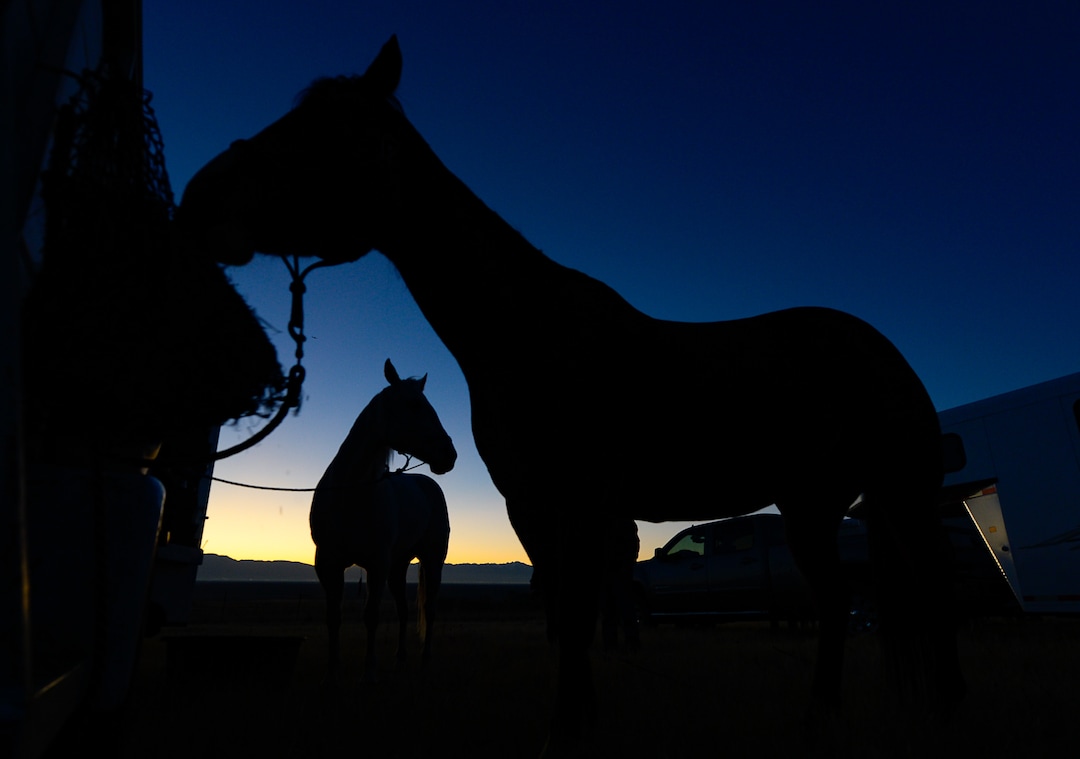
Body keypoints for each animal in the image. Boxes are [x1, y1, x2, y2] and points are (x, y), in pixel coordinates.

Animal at [310, 358, 456, 683]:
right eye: (415, 404)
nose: (449, 454)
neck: (350, 494)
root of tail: (428, 485)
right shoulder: (328, 563)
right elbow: (333, 615)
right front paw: (333, 667)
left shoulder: (376, 564)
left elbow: (371, 615)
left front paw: (369, 668)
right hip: (398, 566)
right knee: (403, 610)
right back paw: (400, 658)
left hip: (432, 560)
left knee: (430, 608)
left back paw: (425, 659)